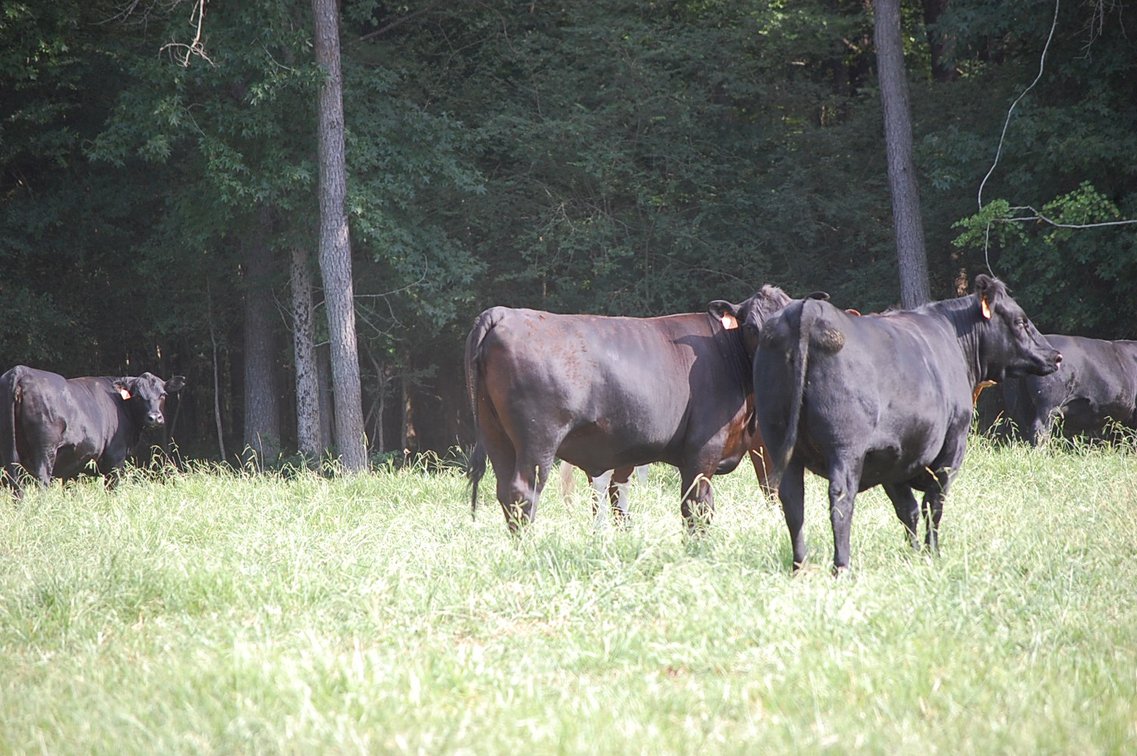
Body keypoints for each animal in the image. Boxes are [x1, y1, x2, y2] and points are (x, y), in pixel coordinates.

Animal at [0, 365, 186, 494]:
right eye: (138, 396)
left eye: (162, 395)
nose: (154, 417)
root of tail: (21, 370)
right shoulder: (115, 457)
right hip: (45, 450)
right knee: (42, 481)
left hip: (10, 452)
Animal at [464, 285, 795, 533]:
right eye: (751, 326)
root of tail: (503, 313)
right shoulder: (703, 449)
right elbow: (696, 506)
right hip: (537, 439)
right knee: (523, 493)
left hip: (495, 434)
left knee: (505, 492)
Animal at [753, 275, 1061, 572]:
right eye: (1020, 320)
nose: (1055, 356)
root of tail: (807, 308)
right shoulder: (952, 446)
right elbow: (933, 505)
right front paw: (932, 553)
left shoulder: (894, 455)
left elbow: (907, 509)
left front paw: (915, 554)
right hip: (845, 447)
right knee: (840, 500)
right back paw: (841, 566)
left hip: (780, 442)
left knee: (793, 501)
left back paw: (800, 566)